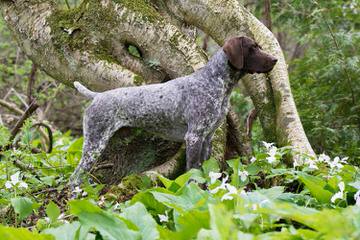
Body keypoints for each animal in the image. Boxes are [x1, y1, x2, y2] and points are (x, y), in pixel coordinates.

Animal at [71, 36, 278, 186]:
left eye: (258, 46)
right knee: (75, 177)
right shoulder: (193, 137)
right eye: (252, 48)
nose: (275, 59)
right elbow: (193, 171)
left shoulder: (207, 138)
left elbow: (204, 170)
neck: (215, 82)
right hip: (94, 144)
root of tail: (97, 96)